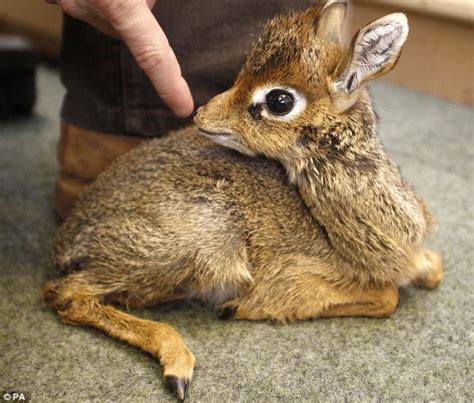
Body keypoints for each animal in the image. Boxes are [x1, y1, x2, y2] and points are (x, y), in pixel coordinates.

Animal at [42, 1, 442, 400]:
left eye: (279, 101)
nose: (201, 115)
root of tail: (68, 241)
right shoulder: (292, 276)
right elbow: (386, 297)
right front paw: (240, 309)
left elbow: (431, 271)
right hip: (198, 240)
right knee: (66, 294)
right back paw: (177, 364)